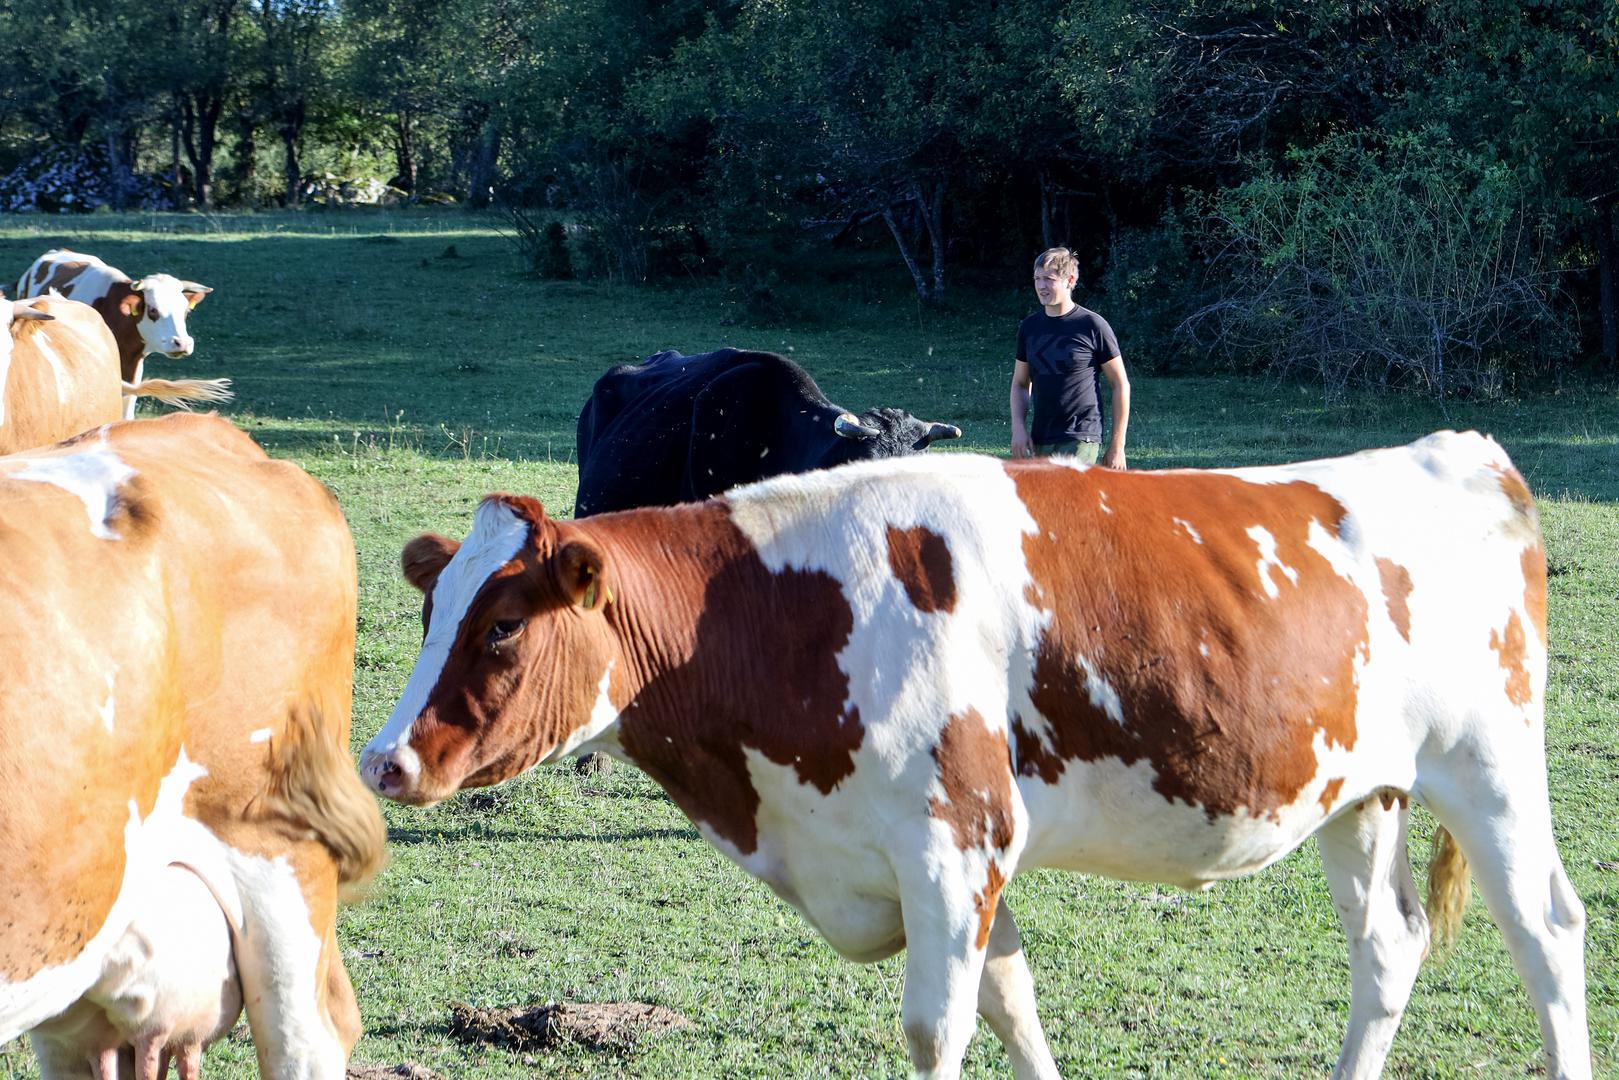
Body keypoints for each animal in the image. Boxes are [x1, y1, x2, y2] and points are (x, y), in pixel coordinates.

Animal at [364, 433, 1593, 1080]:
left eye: (500, 628)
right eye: (429, 610)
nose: (383, 763)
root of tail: (1456, 452)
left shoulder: (953, 839)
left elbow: (938, 1022)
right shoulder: (951, 854)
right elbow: (1010, 1002)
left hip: (1489, 771)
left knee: (1545, 932)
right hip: (1361, 791)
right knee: (1386, 949)